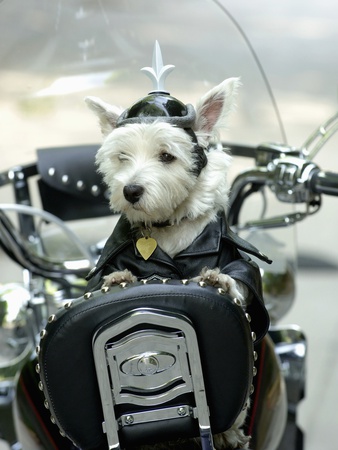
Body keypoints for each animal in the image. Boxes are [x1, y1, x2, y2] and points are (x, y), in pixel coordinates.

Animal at [85, 75, 270, 448]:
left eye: (167, 156)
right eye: (122, 157)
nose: (131, 191)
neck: (166, 226)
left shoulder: (234, 257)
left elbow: (242, 274)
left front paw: (220, 280)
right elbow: (107, 277)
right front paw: (119, 280)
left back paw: (229, 434)